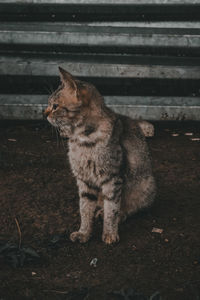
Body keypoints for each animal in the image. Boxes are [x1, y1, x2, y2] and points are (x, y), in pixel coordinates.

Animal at [44, 67, 156, 244]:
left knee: (130, 206)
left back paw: (118, 214)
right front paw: (84, 232)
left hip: (145, 184)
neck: (81, 139)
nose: (44, 113)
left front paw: (110, 233)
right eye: (50, 104)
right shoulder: (84, 180)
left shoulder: (113, 178)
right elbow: (84, 208)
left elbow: (112, 209)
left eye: (55, 106)